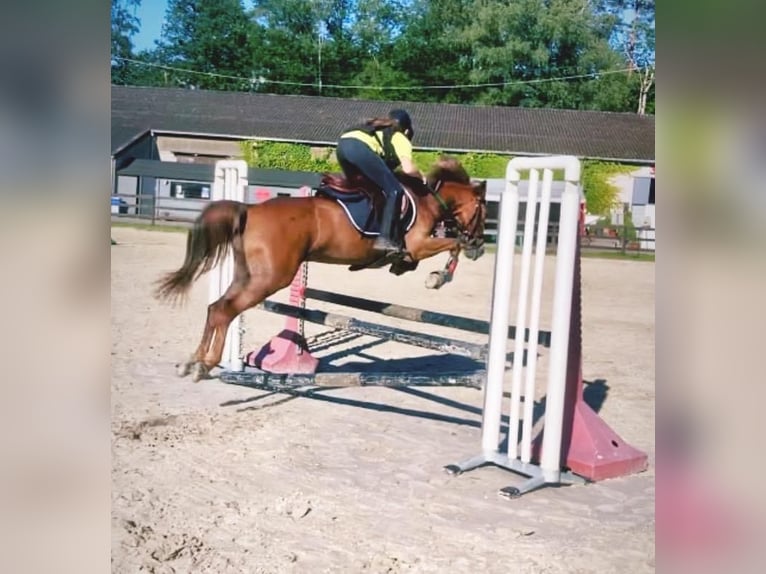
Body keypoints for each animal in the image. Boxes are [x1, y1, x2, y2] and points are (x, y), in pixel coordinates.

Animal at [159, 158, 488, 382]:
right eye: (484, 210)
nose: (480, 246)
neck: (430, 199)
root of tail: (249, 210)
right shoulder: (420, 244)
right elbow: (452, 244)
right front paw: (438, 277)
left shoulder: (417, 247)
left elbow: (431, 252)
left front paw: (406, 267)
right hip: (269, 279)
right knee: (226, 311)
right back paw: (205, 364)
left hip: (247, 275)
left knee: (216, 308)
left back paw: (192, 361)